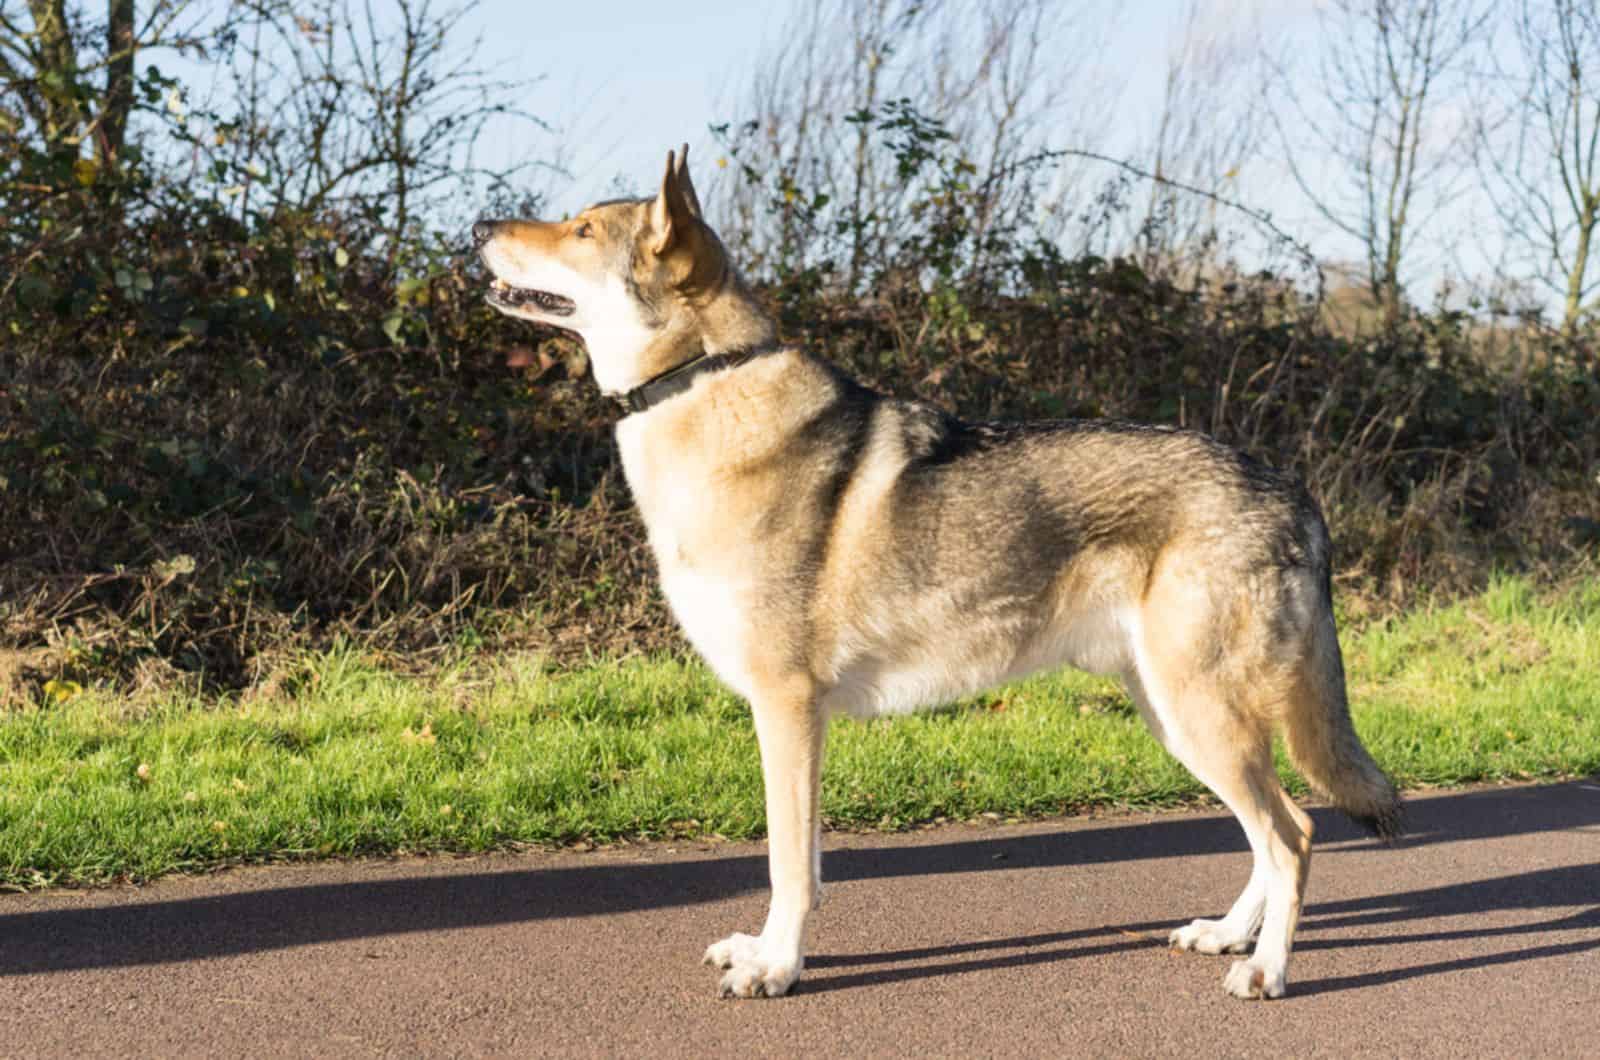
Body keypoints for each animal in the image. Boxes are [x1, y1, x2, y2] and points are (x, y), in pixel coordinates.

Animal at [473, 143, 1401, 1005]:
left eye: (581, 229)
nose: (479, 225)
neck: (706, 387)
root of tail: (1293, 493)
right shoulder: (793, 719)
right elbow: (805, 866)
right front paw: (769, 953)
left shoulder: (787, 708)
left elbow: (786, 864)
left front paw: (776, 969)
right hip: (1176, 719)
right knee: (1273, 835)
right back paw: (1228, 936)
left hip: (1200, 717)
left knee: (1294, 834)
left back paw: (1267, 971)